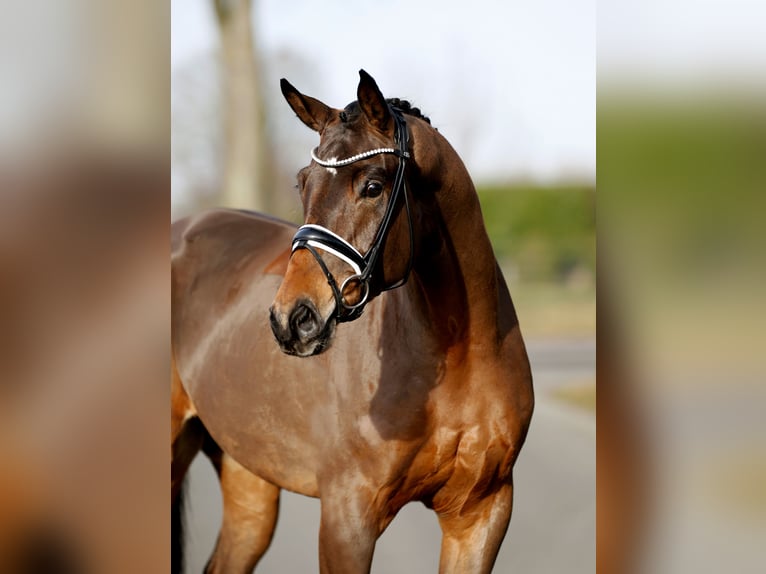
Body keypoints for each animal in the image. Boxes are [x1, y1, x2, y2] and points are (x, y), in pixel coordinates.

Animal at [171, 70, 534, 574]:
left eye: (373, 186)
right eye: (302, 184)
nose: (292, 319)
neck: (460, 353)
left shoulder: (481, 512)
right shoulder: (348, 518)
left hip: (248, 476)